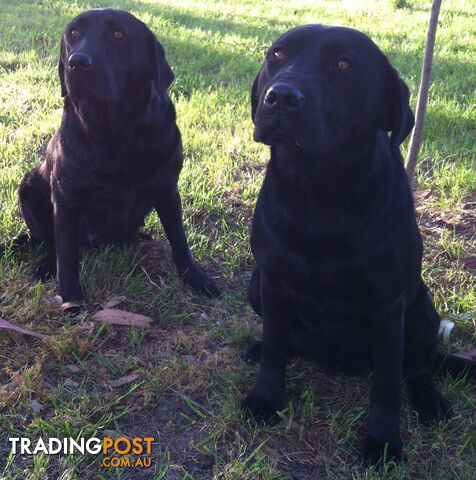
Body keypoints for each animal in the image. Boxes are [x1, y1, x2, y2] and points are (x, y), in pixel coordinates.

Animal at [17, 8, 219, 304]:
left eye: (118, 34)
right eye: (74, 33)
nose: (77, 62)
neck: (117, 133)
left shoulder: (167, 190)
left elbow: (180, 240)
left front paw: (196, 278)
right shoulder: (66, 197)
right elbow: (66, 254)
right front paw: (71, 296)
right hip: (29, 184)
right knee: (51, 242)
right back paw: (45, 265)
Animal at [242, 25, 458, 464]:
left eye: (343, 64)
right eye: (278, 54)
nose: (281, 96)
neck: (320, 192)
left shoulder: (389, 307)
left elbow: (388, 383)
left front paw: (383, 440)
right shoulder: (272, 281)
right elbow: (274, 351)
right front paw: (266, 398)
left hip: (421, 312)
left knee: (420, 367)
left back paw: (431, 402)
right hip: (254, 286)